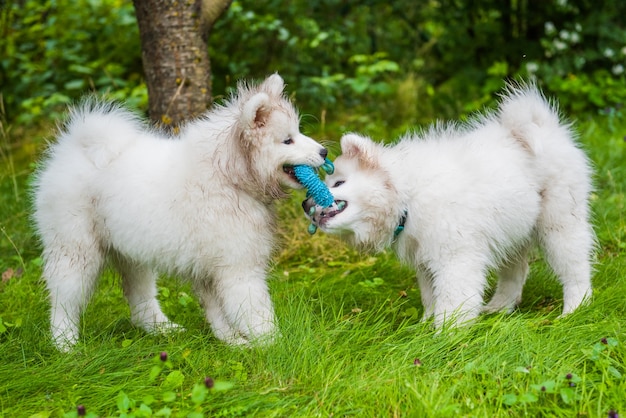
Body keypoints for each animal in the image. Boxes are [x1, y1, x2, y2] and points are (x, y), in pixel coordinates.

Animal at [33, 74, 326, 350]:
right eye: (287, 140)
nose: (324, 151)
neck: (229, 176)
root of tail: (72, 147)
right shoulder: (238, 266)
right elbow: (255, 310)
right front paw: (274, 345)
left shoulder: (210, 267)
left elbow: (217, 312)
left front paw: (233, 342)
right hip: (74, 248)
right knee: (63, 298)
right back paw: (65, 344)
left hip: (132, 251)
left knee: (140, 297)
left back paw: (162, 328)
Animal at [304, 84, 592, 326]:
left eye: (339, 182)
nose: (306, 203)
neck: (407, 195)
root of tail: (545, 126)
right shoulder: (425, 260)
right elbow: (430, 297)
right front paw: (424, 326)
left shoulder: (455, 255)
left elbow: (453, 299)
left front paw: (445, 335)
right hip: (514, 229)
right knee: (515, 272)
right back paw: (498, 308)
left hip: (559, 222)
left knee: (575, 267)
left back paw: (574, 309)